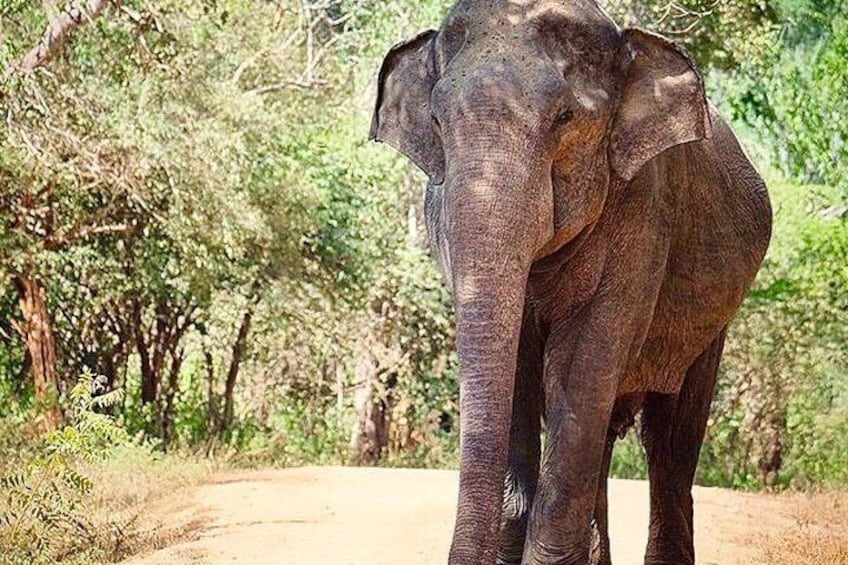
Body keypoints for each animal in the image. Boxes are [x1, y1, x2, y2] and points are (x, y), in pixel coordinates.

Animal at [370, 1, 768, 564]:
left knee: (668, 440)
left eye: (564, 118)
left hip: (712, 322)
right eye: (437, 122)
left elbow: (581, 365)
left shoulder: (644, 212)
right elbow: (519, 372)